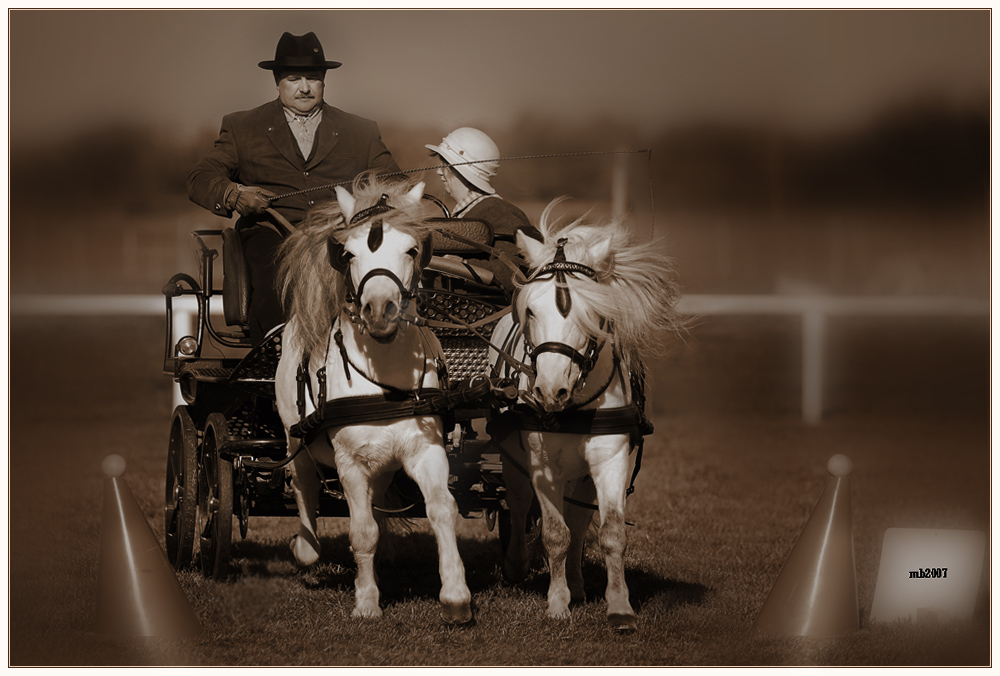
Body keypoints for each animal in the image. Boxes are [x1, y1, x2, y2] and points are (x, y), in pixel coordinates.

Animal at [274, 176, 472, 624]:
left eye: (412, 249)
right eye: (348, 253)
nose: (380, 309)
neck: (384, 381)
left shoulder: (425, 450)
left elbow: (442, 509)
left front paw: (455, 595)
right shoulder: (350, 463)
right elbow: (362, 530)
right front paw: (366, 602)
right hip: (297, 439)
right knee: (305, 488)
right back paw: (305, 548)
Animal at [490, 202, 684, 632]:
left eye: (594, 311)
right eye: (531, 309)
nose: (550, 390)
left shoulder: (609, 459)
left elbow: (610, 532)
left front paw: (619, 606)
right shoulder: (542, 463)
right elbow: (554, 533)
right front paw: (557, 602)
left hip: (581, 473)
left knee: (579, 519)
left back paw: (578, 584)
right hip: (514, 456)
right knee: (519, 499)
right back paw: (516, 565)